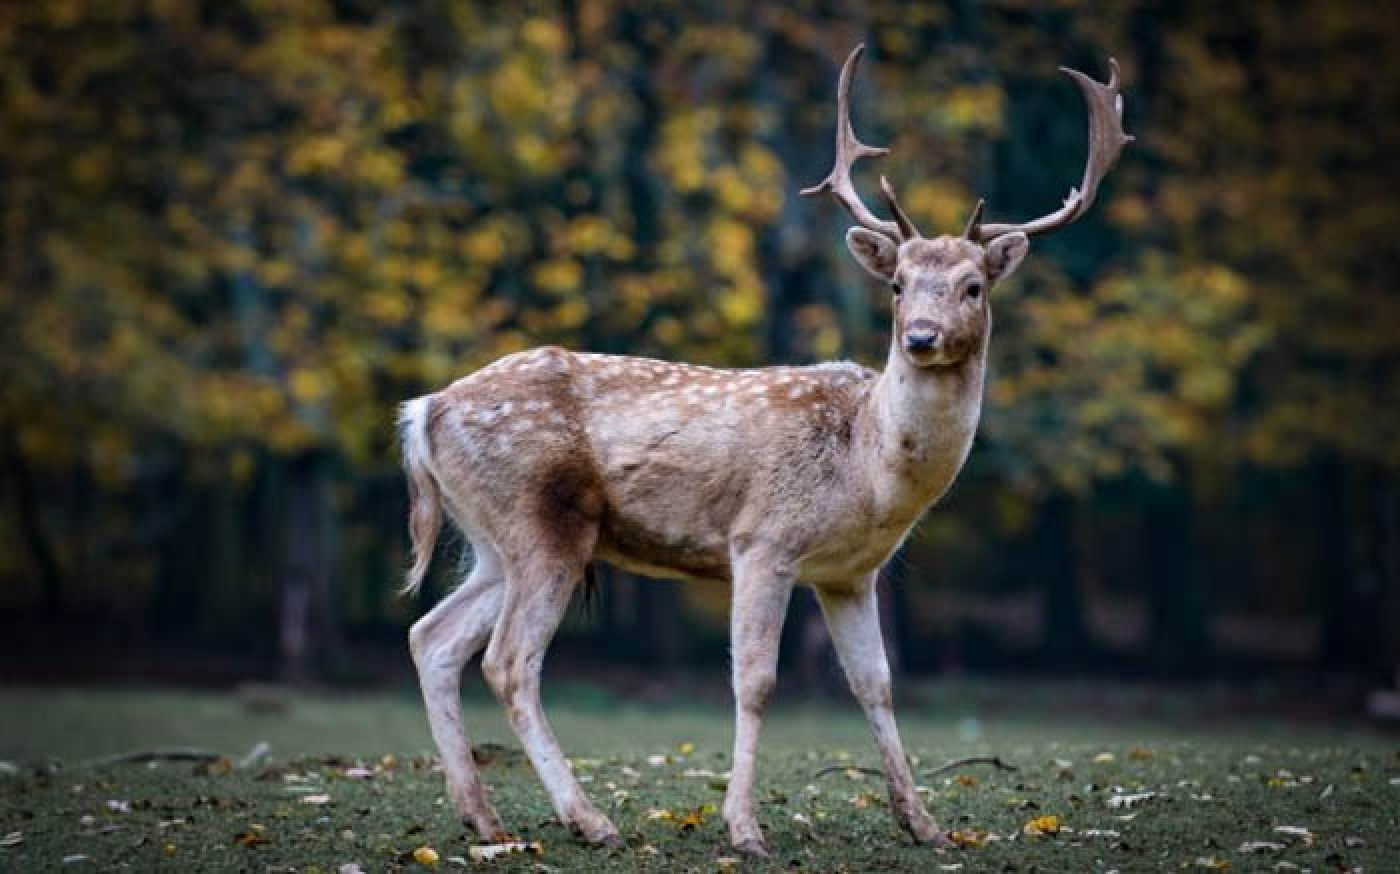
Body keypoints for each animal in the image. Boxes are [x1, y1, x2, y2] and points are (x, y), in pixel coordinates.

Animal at [400, 44, 1131, 857]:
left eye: (973, 286)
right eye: (899, 284)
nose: (920, 337)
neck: (867, 469)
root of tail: (423, 411)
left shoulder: (850, 574)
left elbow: (876, 683)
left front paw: (926, 824)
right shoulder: (762, 541)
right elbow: (755, 682)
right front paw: (744, 829)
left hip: (493, 539)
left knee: (432, 636)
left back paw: (484, 817)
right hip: (540, 521)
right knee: (508, 661)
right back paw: (590, 821)